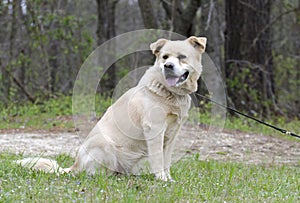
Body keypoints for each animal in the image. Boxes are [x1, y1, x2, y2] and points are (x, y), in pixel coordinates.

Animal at [15, 36, 206, 181]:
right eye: (165, 57)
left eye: (182, 57)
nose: (168, 66)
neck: (168, 92)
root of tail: (75, 165)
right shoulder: (155, 130)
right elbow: (158, 159)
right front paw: (161, 180)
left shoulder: (172, 134)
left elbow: (166, 161)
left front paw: (168, 179)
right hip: (105, 143)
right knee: (93, 173)